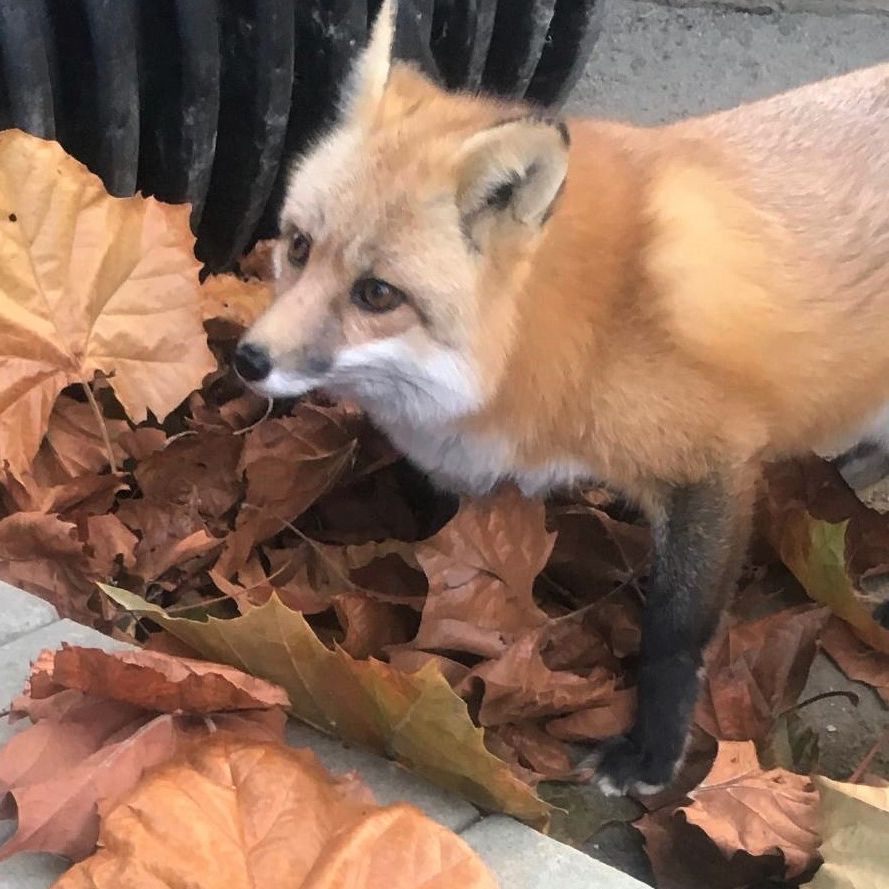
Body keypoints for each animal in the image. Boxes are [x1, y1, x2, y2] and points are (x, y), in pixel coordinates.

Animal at [234, 0, 888, 792]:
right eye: (297, 245)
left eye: (377, 294)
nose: (247, 359)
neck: (567, 325)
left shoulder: (713, 463)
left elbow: (674, 632)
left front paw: (651, 753)